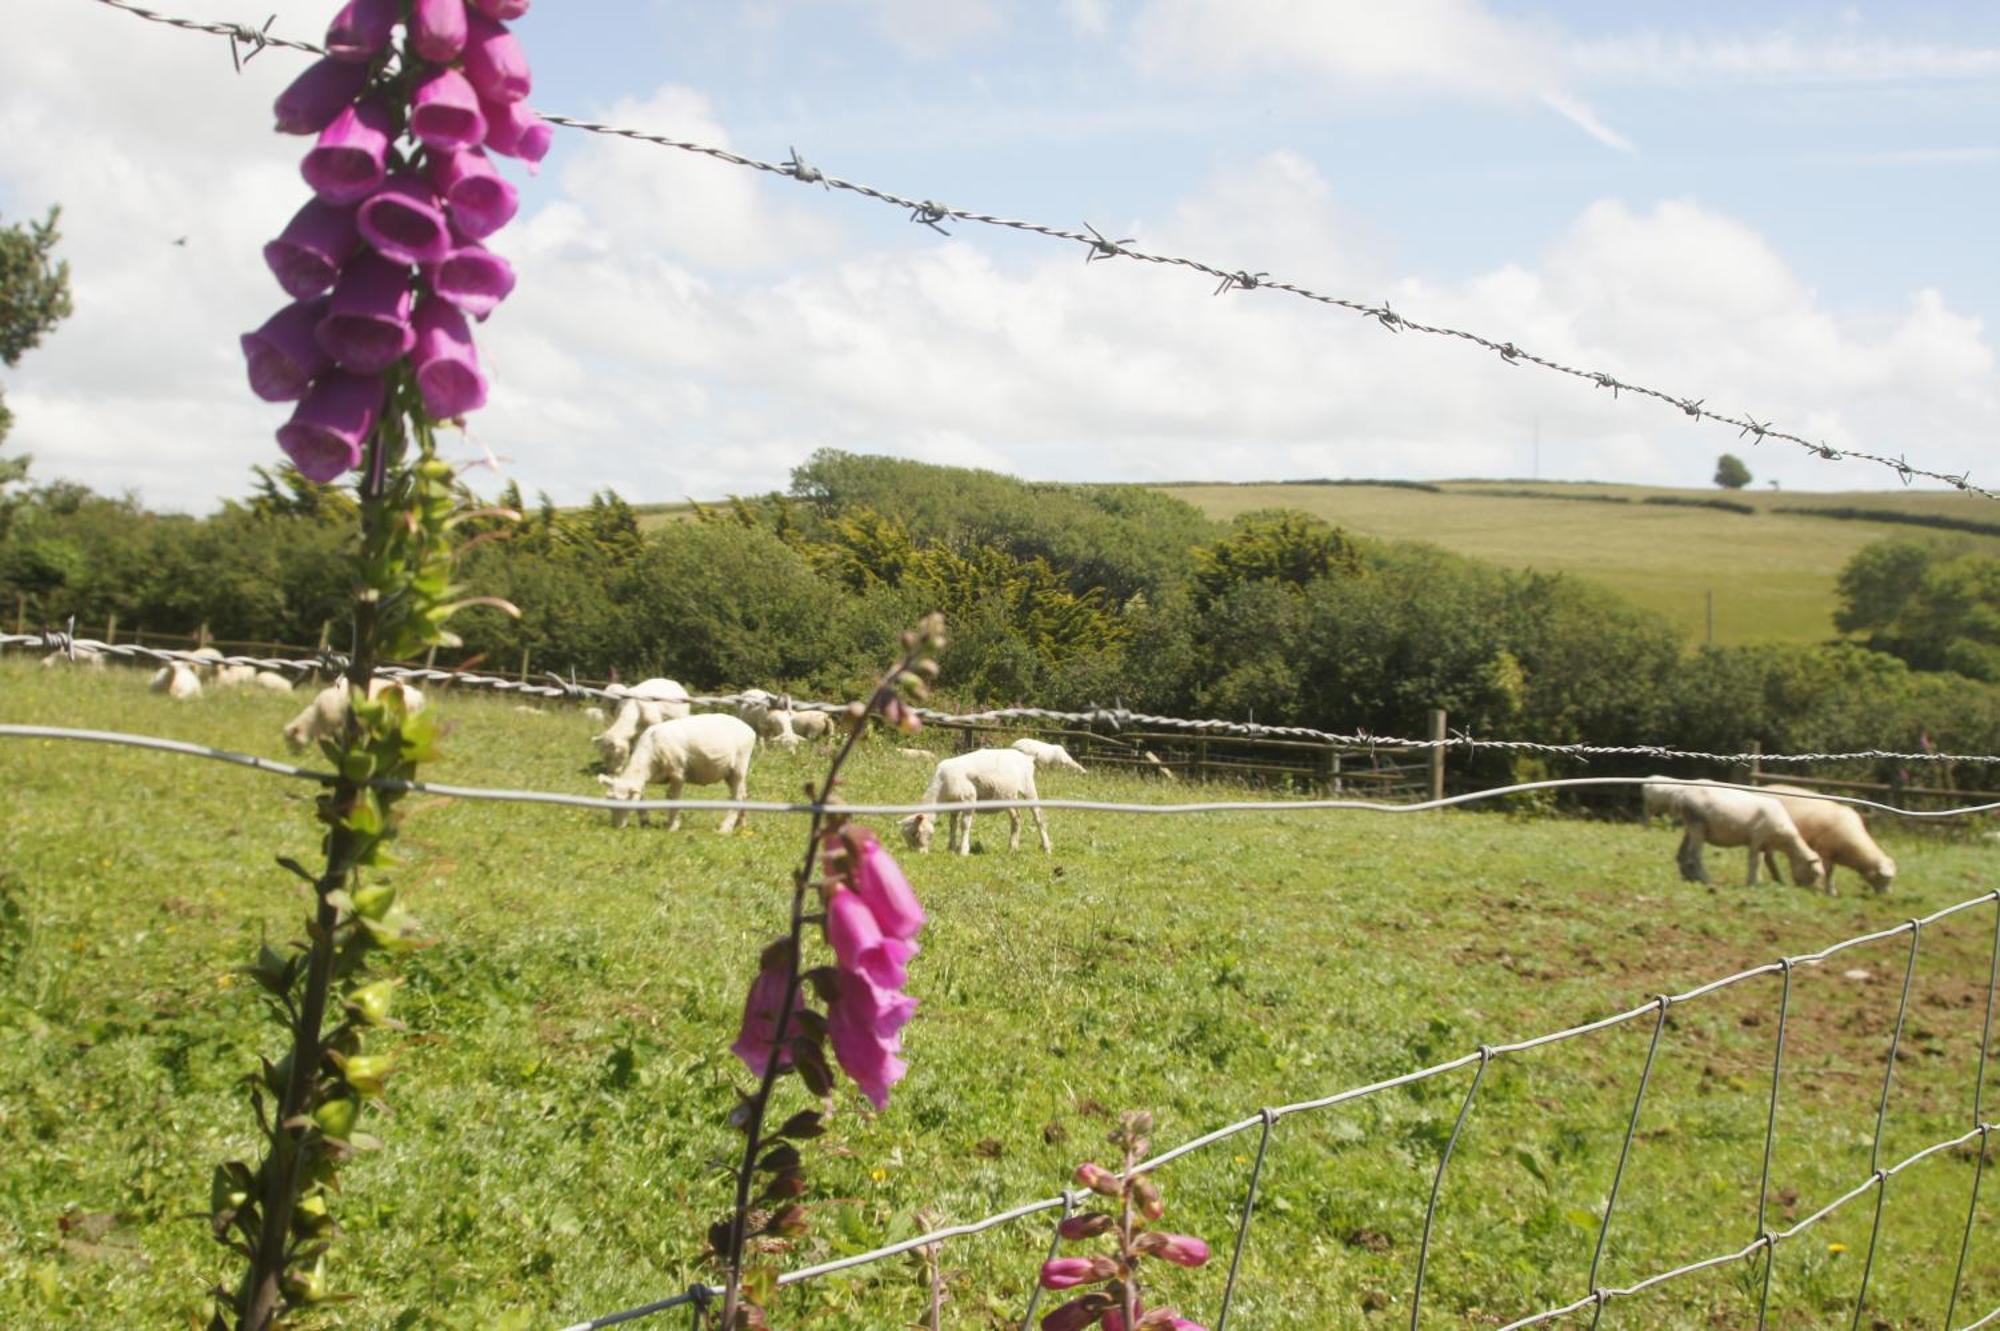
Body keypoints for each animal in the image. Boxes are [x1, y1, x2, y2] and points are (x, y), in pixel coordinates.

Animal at [592, 711, 756, 823]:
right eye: (609, 800)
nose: (616, 826)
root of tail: (749, 729)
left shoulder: (678, 773)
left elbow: (672, 797)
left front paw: (672, 825)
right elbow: (642, 796)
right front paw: (645, 821)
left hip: (739, 767)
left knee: (737, 797)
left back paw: (725, 829)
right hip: (730, 773)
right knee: (743, 794)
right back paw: (741, 824)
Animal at [892, 747, 1048, 851]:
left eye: (915, 833)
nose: (918, 853)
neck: (942, 787)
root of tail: (1026, 757)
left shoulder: (969, 799)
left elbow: (964, 825)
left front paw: (963, 850)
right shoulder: (953, 805)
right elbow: (952, 825)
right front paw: (951, 847)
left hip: (1028, 788)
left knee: (1038, 817)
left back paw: (1046, 847)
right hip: (1008, 795)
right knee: (1016, 818)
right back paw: (1012, 848)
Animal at [1640, 771, 1832, 887]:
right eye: (1816, 873)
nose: (1808, 891)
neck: (1785, 841)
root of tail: (1681, 794)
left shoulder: (1764, 845)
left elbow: (1760, 861)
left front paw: (1757, 881)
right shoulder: (1757, 838)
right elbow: (1754, 861)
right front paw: (1752, 882)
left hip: (1690, 826)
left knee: (1682, 854)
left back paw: (1689, 877)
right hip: (1697, 826)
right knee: (1694, 856)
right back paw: (1706, 879)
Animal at [1760, 783, 1896, 895]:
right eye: (1886, 878)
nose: (1887, 895)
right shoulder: (1825, 851)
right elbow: (1829, 872)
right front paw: (1830, 891)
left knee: (1768, 857)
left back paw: (1778, 879)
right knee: (1768, 857)